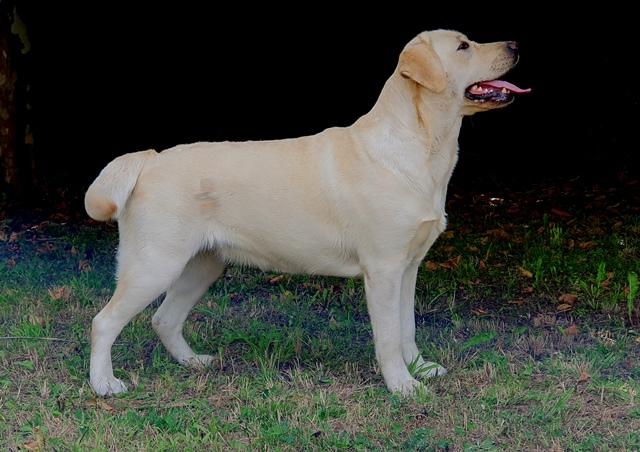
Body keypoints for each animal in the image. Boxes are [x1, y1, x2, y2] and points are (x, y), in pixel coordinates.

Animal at [85, 30, 528, 396]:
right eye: (463, 46)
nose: (515, 45)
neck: (421, 145)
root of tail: (150, 159)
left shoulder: (409, 267)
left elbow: (408, 328)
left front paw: (420, 369)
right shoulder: (384, 269)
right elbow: (388, 336)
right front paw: (402, 386)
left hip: (201, 265)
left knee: (164, 319)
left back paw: (193, 363)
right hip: (155, 264)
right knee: (103, 322)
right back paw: (104, 384)